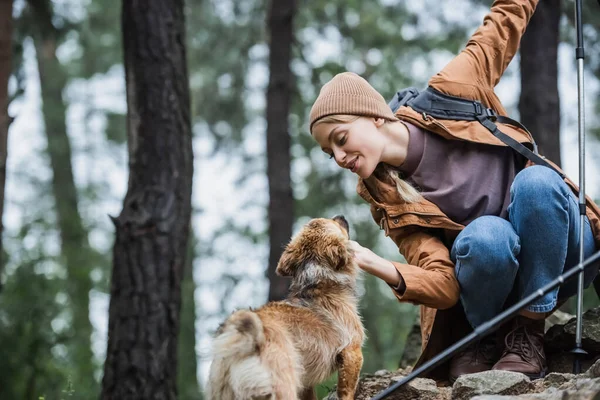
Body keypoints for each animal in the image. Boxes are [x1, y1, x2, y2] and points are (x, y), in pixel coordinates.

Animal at [206, 217, 366, 398]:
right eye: (334, 222)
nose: (341, 216)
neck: (316, 279)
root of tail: (246, 343)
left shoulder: (306, 384)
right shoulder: (352, 352)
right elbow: (346, 392)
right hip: (284, 386)